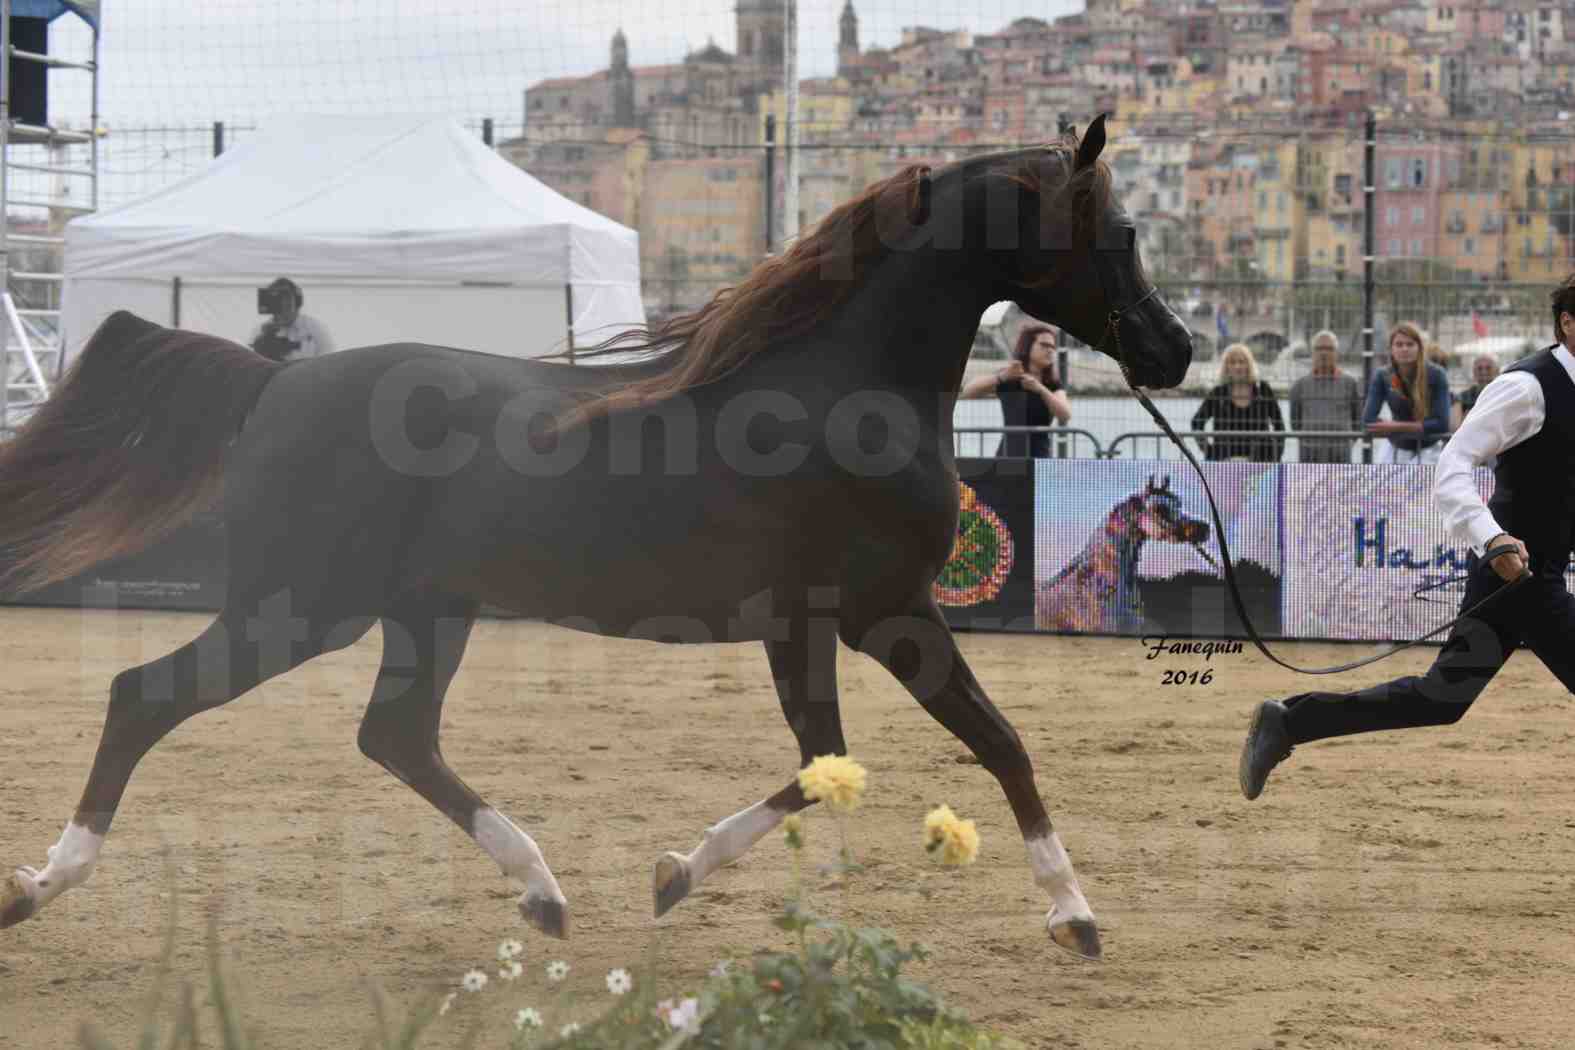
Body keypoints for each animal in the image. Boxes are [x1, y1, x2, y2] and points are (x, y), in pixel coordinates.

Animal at [0, 114, 1184, 963]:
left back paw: (544, 893)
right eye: (1123, 232)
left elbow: (824, 766)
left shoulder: (805, 628)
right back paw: (42, 884)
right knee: (146, 698)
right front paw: (1074, 916)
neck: (842, 390)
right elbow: (997, 743)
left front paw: (670, 875)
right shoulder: (885, 616)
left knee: (396, 737)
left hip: (420, 612)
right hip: (302, 610)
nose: (1172, 352)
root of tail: (276, 379)